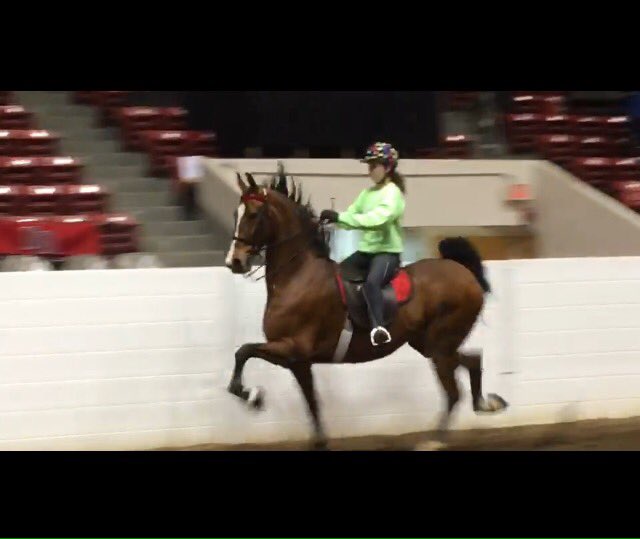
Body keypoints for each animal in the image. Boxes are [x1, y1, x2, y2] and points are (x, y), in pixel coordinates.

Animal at [225, 171, 508, 450]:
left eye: (253, 214)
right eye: (235, 214)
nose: (234, 262)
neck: (298, 276)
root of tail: (464, 272)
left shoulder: (294, 347)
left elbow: (244, 351)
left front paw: (251, 395)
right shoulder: (296, 360)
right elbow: (311, 402)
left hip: (440, 345)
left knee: (453, 392)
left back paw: (435, 440)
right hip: (429, 344)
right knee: (472, 361)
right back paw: (488, 404)